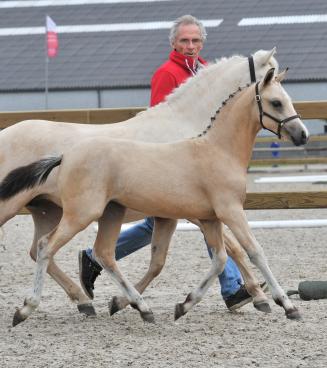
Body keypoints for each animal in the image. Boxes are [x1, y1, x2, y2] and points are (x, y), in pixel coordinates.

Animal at [1, 67, 310, 324]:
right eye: (276, 102)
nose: (302, 135)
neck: (217, 150)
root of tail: (65, 156)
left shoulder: (208, 219)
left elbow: (220, 258)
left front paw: (184, 305)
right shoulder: (229, 211)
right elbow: (253, 251)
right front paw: (286, 305)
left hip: (93, 212)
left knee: (99, 253)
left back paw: (134, 307)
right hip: (79, 213)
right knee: (46, 247)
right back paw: (26, 309)